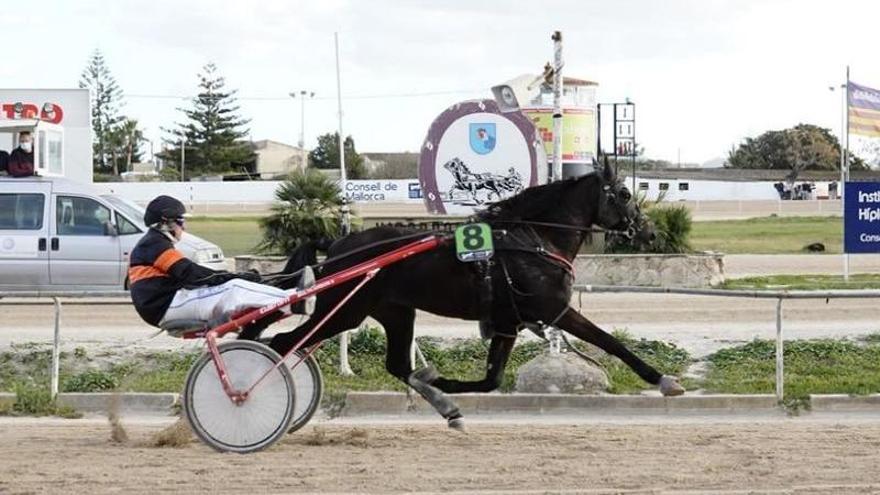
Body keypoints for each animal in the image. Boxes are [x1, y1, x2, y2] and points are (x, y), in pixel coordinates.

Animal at [264, 161, 684, 428]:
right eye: (625, 193)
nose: (649, 231)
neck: (533, 239)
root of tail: (338, 244)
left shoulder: (508, 321)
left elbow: (491, 379)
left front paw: (441, 386)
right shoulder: (555, 309)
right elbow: (611, 343)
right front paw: (664, 380)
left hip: (395, 312)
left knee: (396, 364)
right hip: (345, 310)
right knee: (283, 343)